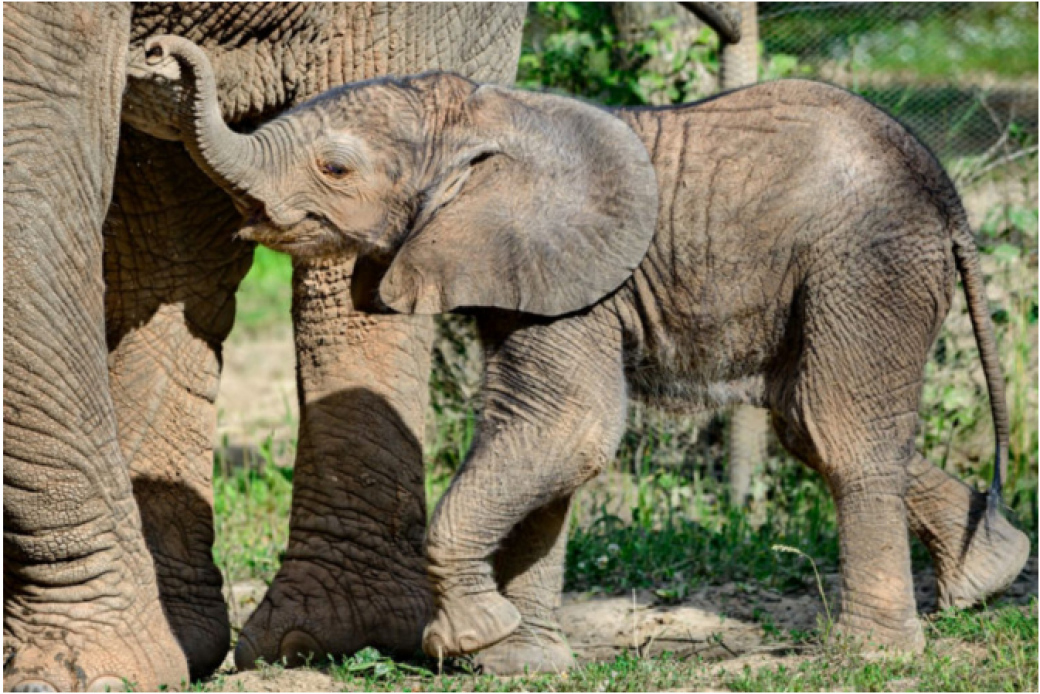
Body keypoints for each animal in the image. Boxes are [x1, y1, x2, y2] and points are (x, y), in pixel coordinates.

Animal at [148, 36, 1031, 674]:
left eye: (335, 167)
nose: (160, 49)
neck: (488, 116)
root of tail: (949, 197)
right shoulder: (526, 272)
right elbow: (545, 437)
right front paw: (523, 661)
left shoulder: (572, 278)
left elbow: (563, 426)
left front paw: (472, 638)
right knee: (805, 422)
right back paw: (988, 575)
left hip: (865, 262)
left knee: (836, 431)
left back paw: (871, 654)